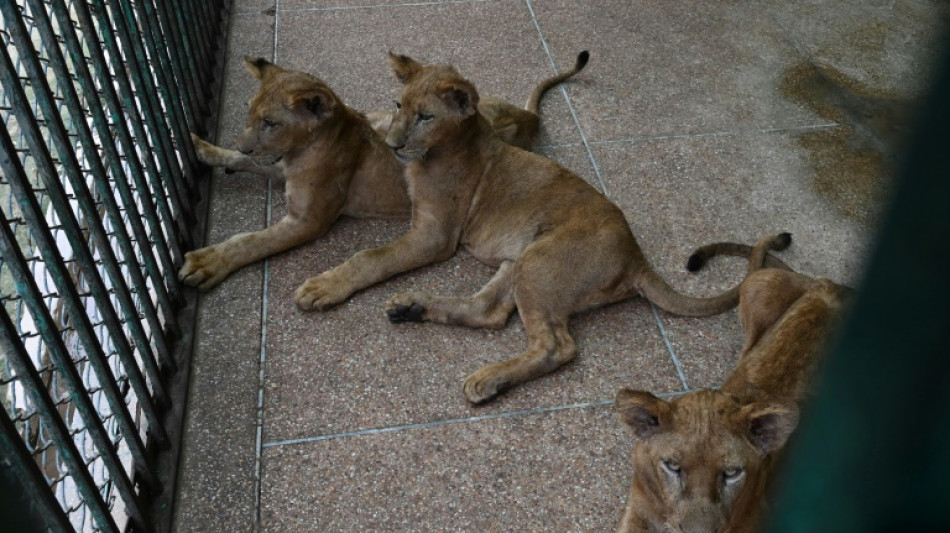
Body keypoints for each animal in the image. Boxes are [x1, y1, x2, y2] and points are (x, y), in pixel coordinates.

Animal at [179, 52, 589, 290]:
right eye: (249, 112)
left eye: (270, 122)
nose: (246, 142)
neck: (300, 151)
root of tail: (528, 118)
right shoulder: (278, 165)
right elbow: (243, 161)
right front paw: (203, 148)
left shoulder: (308, 221)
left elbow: (251, 241)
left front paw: (208, 262)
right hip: (382, 115)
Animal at [292, 53, 765, 404]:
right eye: (398, 106)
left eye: (425, 116)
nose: (393, 145)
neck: (450, 145)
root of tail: (636, 255)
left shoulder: (435, 236)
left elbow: (371, 256)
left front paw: (322, 287)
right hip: (518, 261)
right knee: (488, 312)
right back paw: (413, 308)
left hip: (540, 261)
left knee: (556, 345)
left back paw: (486, 380)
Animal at [615, 233, 852, 533]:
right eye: (673, 467)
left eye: (731, 473)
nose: (699, 532)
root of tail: (831, 286)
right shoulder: (636, 510)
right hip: (758, 286)